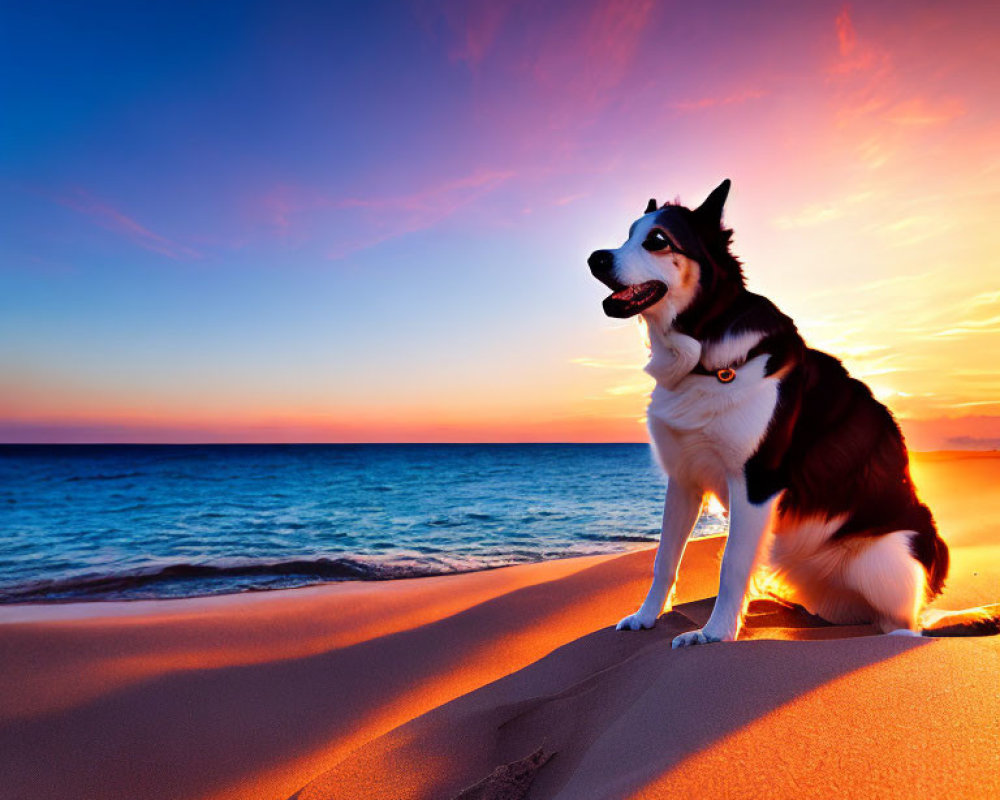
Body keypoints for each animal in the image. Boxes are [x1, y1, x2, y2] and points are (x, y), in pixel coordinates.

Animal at [588, 180, 956, 644]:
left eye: (656, 240)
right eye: (626, 236)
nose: (594, 258)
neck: (701, 350)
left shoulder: (756, 482)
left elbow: (731, 562)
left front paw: (715, 634)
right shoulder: (684, 478)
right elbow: (665, 559)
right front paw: (646, 616)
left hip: (887, 561)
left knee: (905, 627)